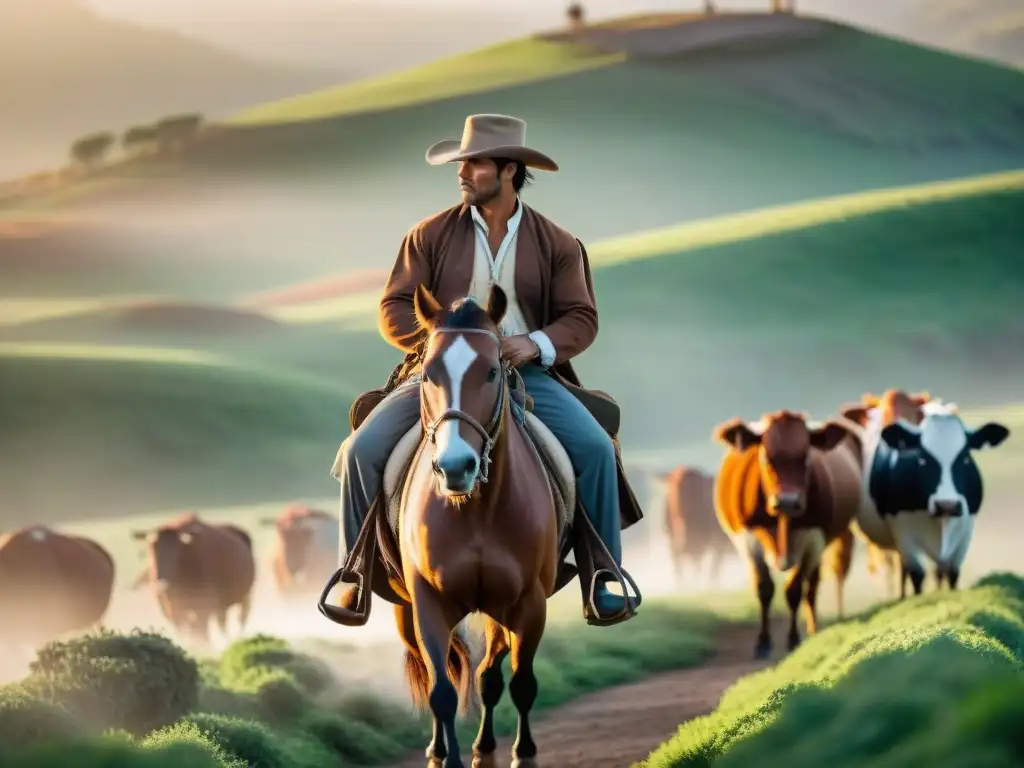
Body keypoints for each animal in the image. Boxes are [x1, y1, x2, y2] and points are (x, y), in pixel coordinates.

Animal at [131, 514, 254, 647]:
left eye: (176, 552)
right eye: (151, 548)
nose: (161, 582)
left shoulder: (203, 608)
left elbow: (201, 632)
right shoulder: (174, 611)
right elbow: (188, 633)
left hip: (245, 597)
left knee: (241, 618)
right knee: (222, 624)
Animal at [376, 286, 561, 768]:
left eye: (493, 371)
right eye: (427, 374)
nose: (456, 466)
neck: (474, 511)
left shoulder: (529, 604)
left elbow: (520, 682)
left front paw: (523, 753)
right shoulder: (427, 603)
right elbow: (441, 691)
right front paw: (449, 755)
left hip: (500, 610)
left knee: (488, 673)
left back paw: (485, 746)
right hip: (406, 612)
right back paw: (440, 749)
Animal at [712, 411, 864, 659]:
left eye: (806, 457)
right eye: (766, 457)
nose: (787, 502)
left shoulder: (814, 538)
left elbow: (794, 591)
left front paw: (794, 639)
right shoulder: (748, 538)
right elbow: (764, 588)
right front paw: (763, 643)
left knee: (812, 586)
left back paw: (813, 628)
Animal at [868, 409, 1011, 593]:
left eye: (965, 457)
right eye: (922, 459)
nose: (947, 505)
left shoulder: (966, 531)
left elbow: (952, 573)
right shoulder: (903, 533)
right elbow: (917, 575)